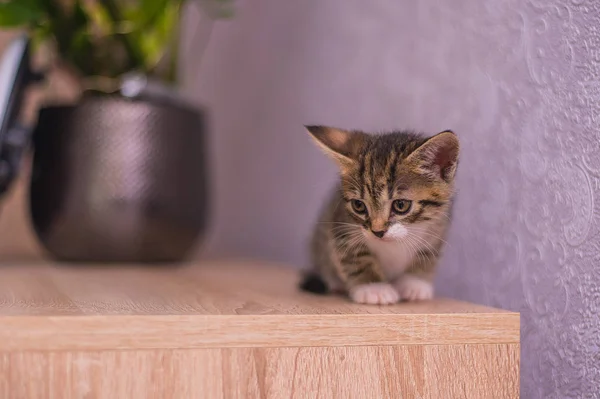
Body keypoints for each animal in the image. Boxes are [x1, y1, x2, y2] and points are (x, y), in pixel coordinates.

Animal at [300, 126, 460, 304]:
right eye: (358, 205)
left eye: (401, 205)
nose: (377, 231)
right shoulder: (341, 224)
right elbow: (356, 257)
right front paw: (373, 288)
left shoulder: (438, 226)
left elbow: (427, 254)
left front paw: (414, 283)